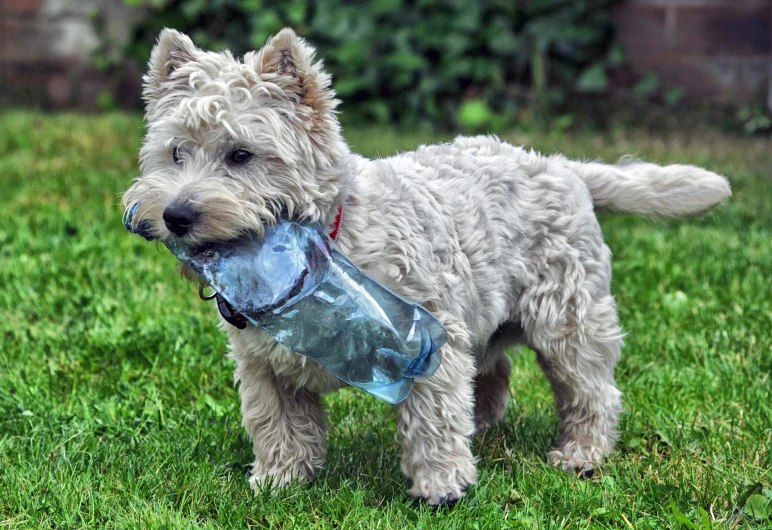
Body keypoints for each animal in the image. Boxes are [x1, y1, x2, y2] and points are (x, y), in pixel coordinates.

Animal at [120, 27, 728, 504]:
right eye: (176, 153)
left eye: (241, 155)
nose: (175, 216)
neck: (328, 249)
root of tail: (560, 165)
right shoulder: (264, 366)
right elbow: (279, 425)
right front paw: (278, 482)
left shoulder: (428, 340)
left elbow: (431, 420)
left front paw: (442, 486)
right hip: (489, 315)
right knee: (496, 373)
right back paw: (486, 427)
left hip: (565, 318)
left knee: (591, 390)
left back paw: (580, 454)